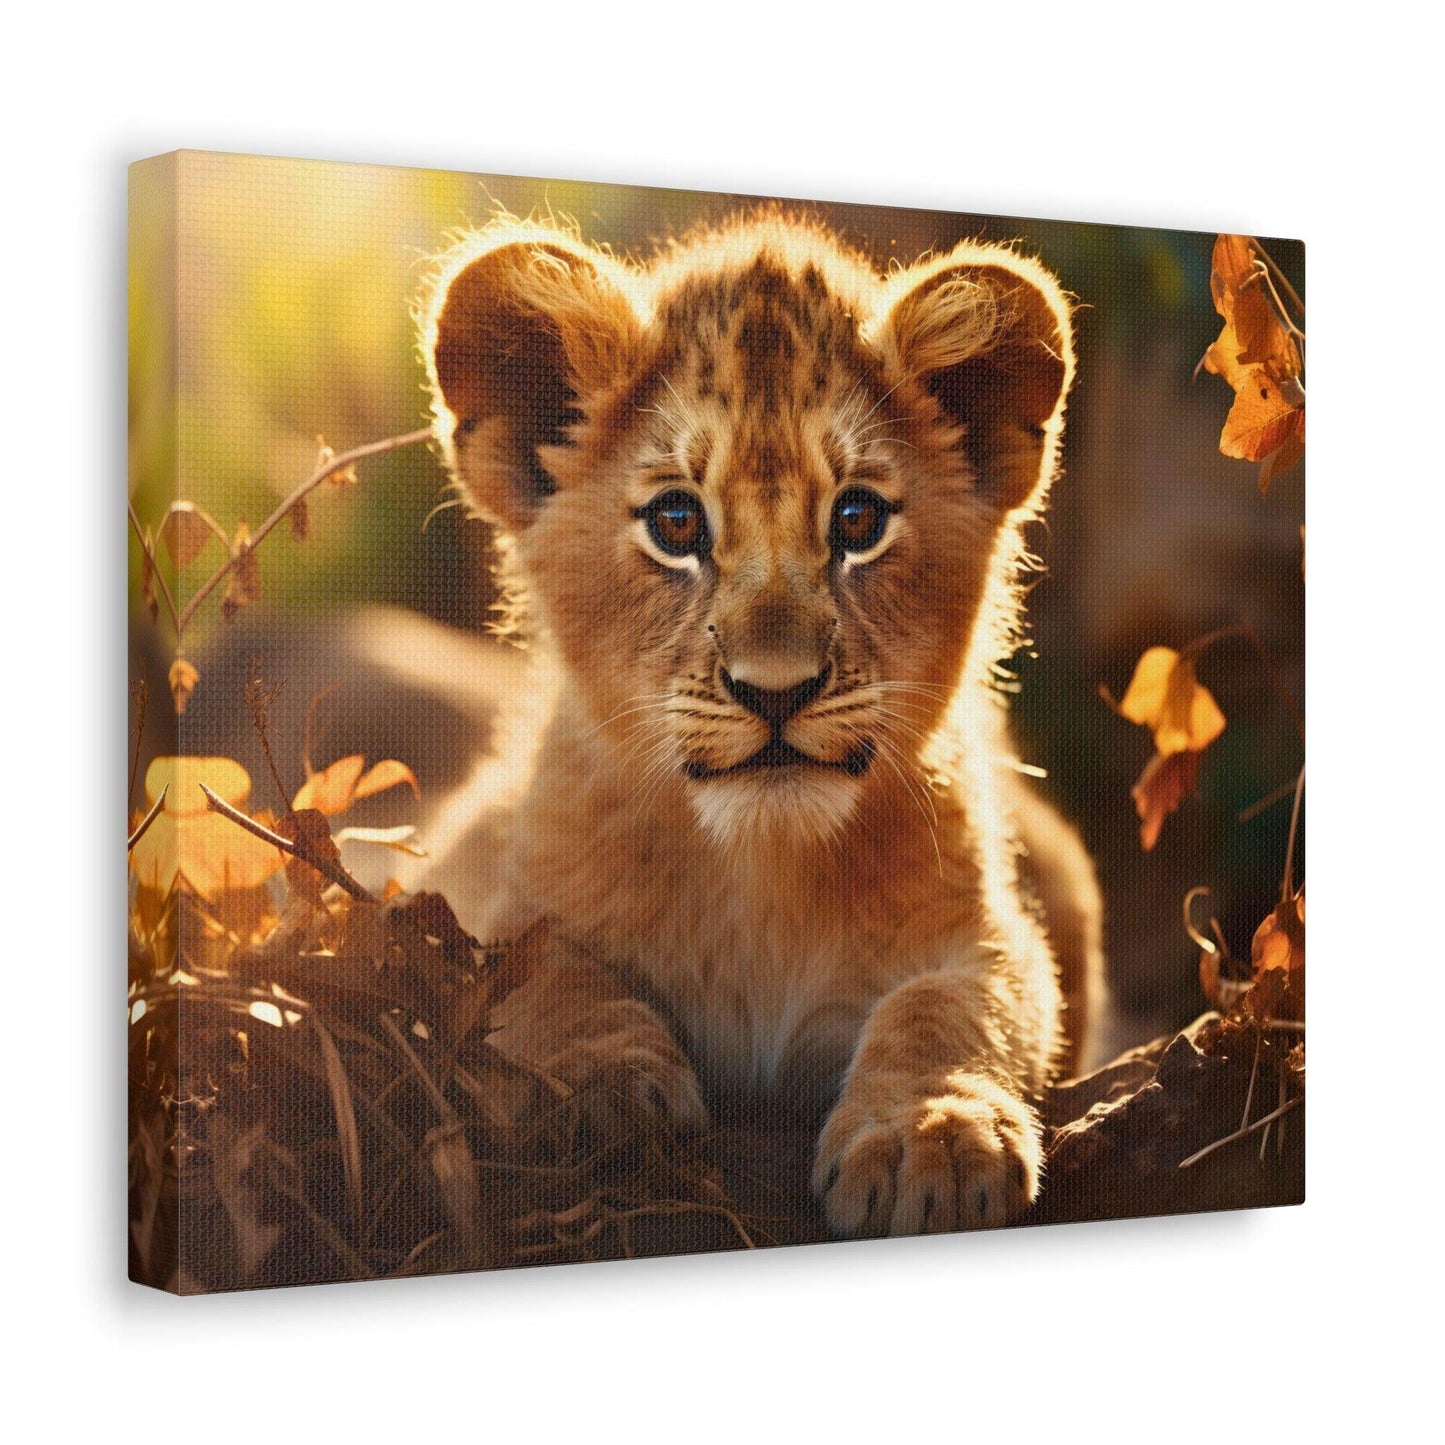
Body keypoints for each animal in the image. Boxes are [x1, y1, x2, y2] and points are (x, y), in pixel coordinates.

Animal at [416, 211, 1104, 1236]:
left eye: (857, 519)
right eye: (675, 522)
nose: (775, 691)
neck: (759, 874)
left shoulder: (985, 928)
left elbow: (952, 1006)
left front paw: (931, 1134)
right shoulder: (492, 896)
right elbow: (544, 979)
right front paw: (596, 1093)